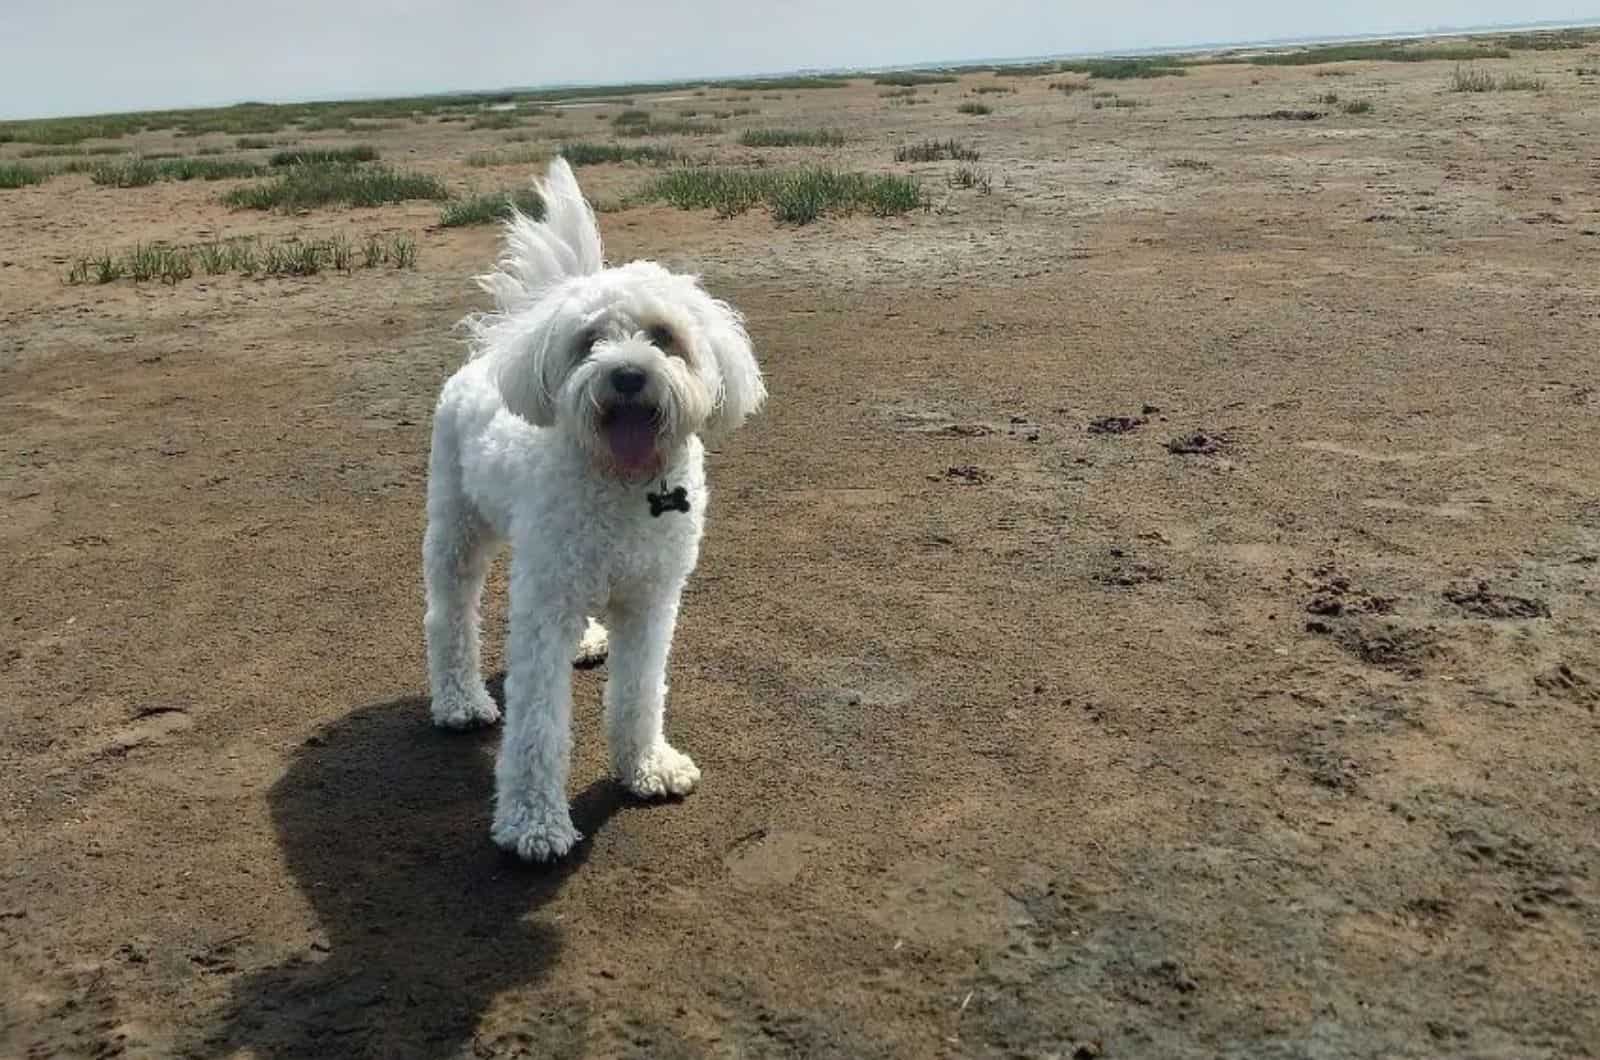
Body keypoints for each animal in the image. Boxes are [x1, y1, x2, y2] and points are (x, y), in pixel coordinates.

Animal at [422, 157, 764, 864]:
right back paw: (460, 700)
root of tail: (494, 350)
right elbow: (538, 725)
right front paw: (532, 824)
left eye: (664, 337)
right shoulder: (545, 604)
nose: (629, 375)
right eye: (589, 342)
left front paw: (646, 768)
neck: (623, 482)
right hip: (457, 528)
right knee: (449, 616)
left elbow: (639, 692)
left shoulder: (650, 599)